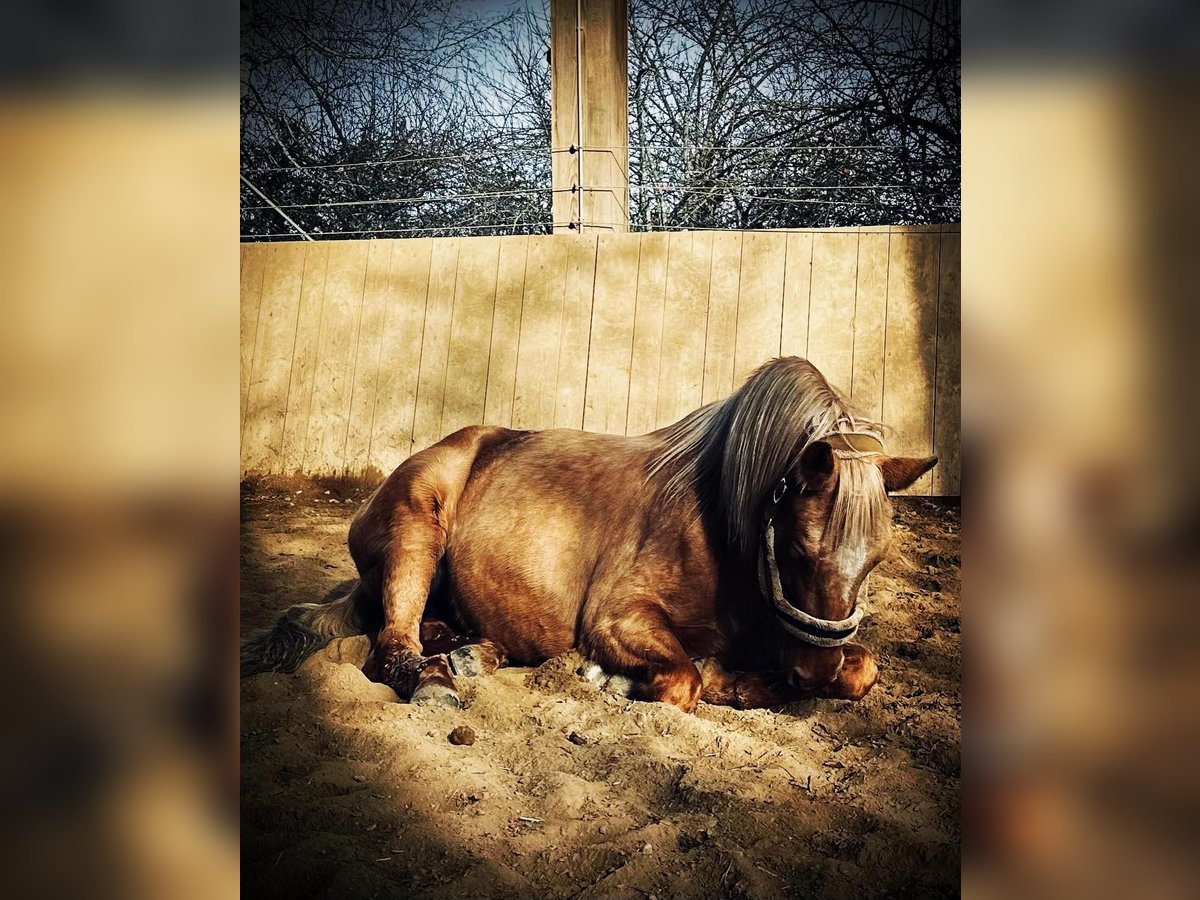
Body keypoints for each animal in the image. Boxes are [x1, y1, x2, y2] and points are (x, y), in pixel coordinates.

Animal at [243, 356, 936, 712]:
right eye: (796, 548)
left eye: (877, 561)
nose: (812, 670)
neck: (722, 532)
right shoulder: (616, 618)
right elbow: (684, 681)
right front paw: (624, 678)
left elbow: (863, 668)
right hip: (418, 530)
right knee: (392, 643)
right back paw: (438, 678)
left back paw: (472, 653)